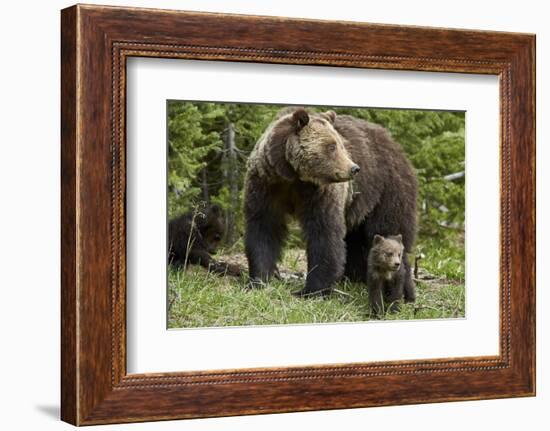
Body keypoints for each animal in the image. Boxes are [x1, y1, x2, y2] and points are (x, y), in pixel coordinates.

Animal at [244, 106, 416, 298]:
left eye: (341, 144)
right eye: (331, 146)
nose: (354, 168)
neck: (293, 176)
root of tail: (396, 146)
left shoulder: (320, 194)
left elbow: (324, 234)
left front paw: (311, 290)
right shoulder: (266, 185)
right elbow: (263, 227)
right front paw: (258, 280)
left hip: (388, 191)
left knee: (388, 230)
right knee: (357, 239)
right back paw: (354, 277)